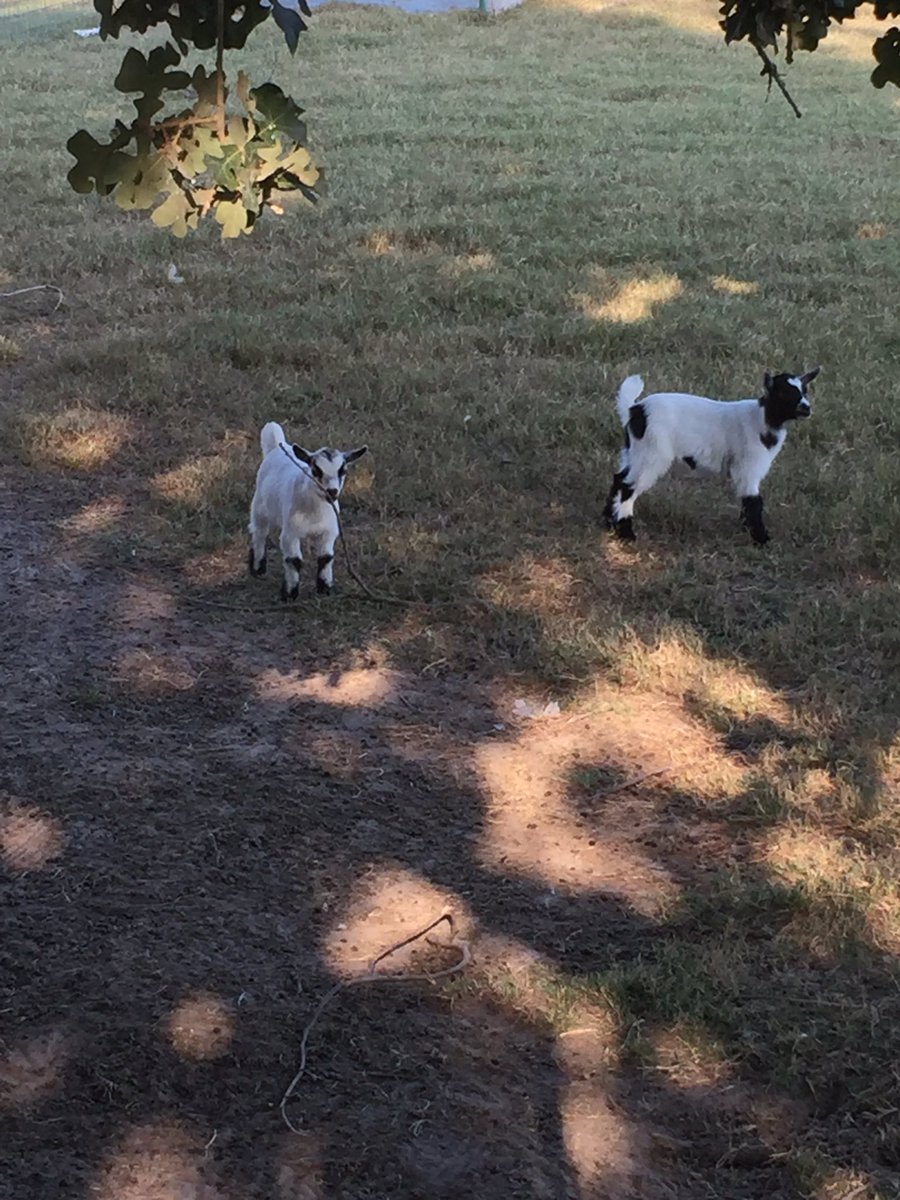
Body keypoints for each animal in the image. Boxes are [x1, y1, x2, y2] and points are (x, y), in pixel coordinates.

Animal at [248, 421, 368, 600]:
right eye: (316, 470)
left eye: (342, 471)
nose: (332, 491)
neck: (315, 511)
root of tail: (278, 446)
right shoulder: (290, 533)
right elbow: (294, 560)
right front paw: (289, 594)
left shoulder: (328, 531)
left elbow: (326, 558)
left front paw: (325, 589)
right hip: (260, 507)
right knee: (259, 533)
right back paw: (257, 569)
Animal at [603, 368, 819, 544]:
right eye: (784, 392)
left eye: (804, 391)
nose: (807, 408)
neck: (763, 419)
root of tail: (634, 410)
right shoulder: (749, 465)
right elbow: (753, 501)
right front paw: (761, 539)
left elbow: (747, 501)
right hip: (653, 452)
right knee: (628, 487)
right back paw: (626, 534)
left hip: (634, 450)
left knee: (619, 478)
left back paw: (608, 522)